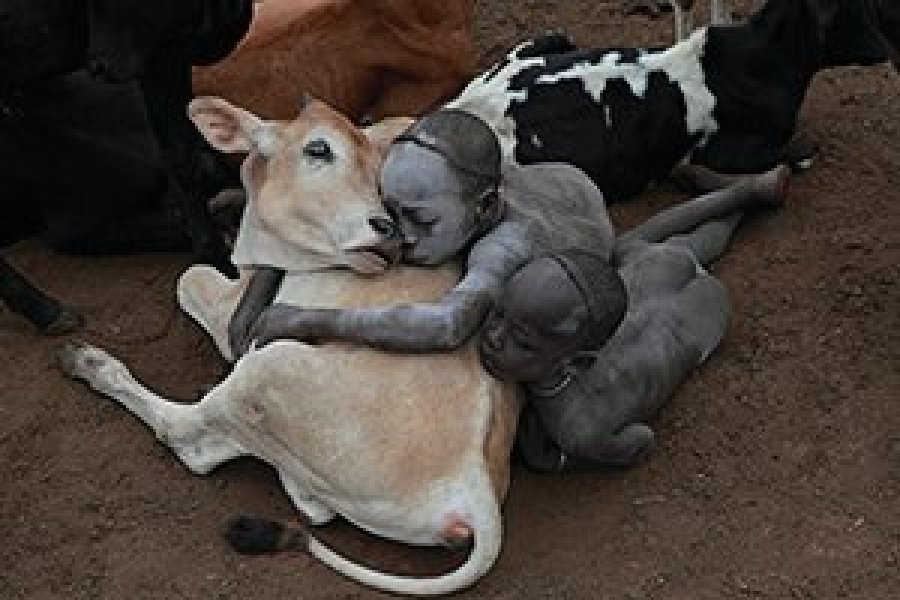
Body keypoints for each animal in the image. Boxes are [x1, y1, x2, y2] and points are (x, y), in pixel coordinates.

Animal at [59, 97, 516, 596]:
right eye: (319, 149)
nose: (384, 228)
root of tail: (474, 487)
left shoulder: (238, 315)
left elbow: (189, 278)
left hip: (264, 376)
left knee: (188, 439)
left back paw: (90, 363)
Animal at [446, 0, 896, 203]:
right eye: (858, 10)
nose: (885, 50)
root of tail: (460, 109)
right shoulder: (720, 151)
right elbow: (804, 148)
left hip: (554, 36)